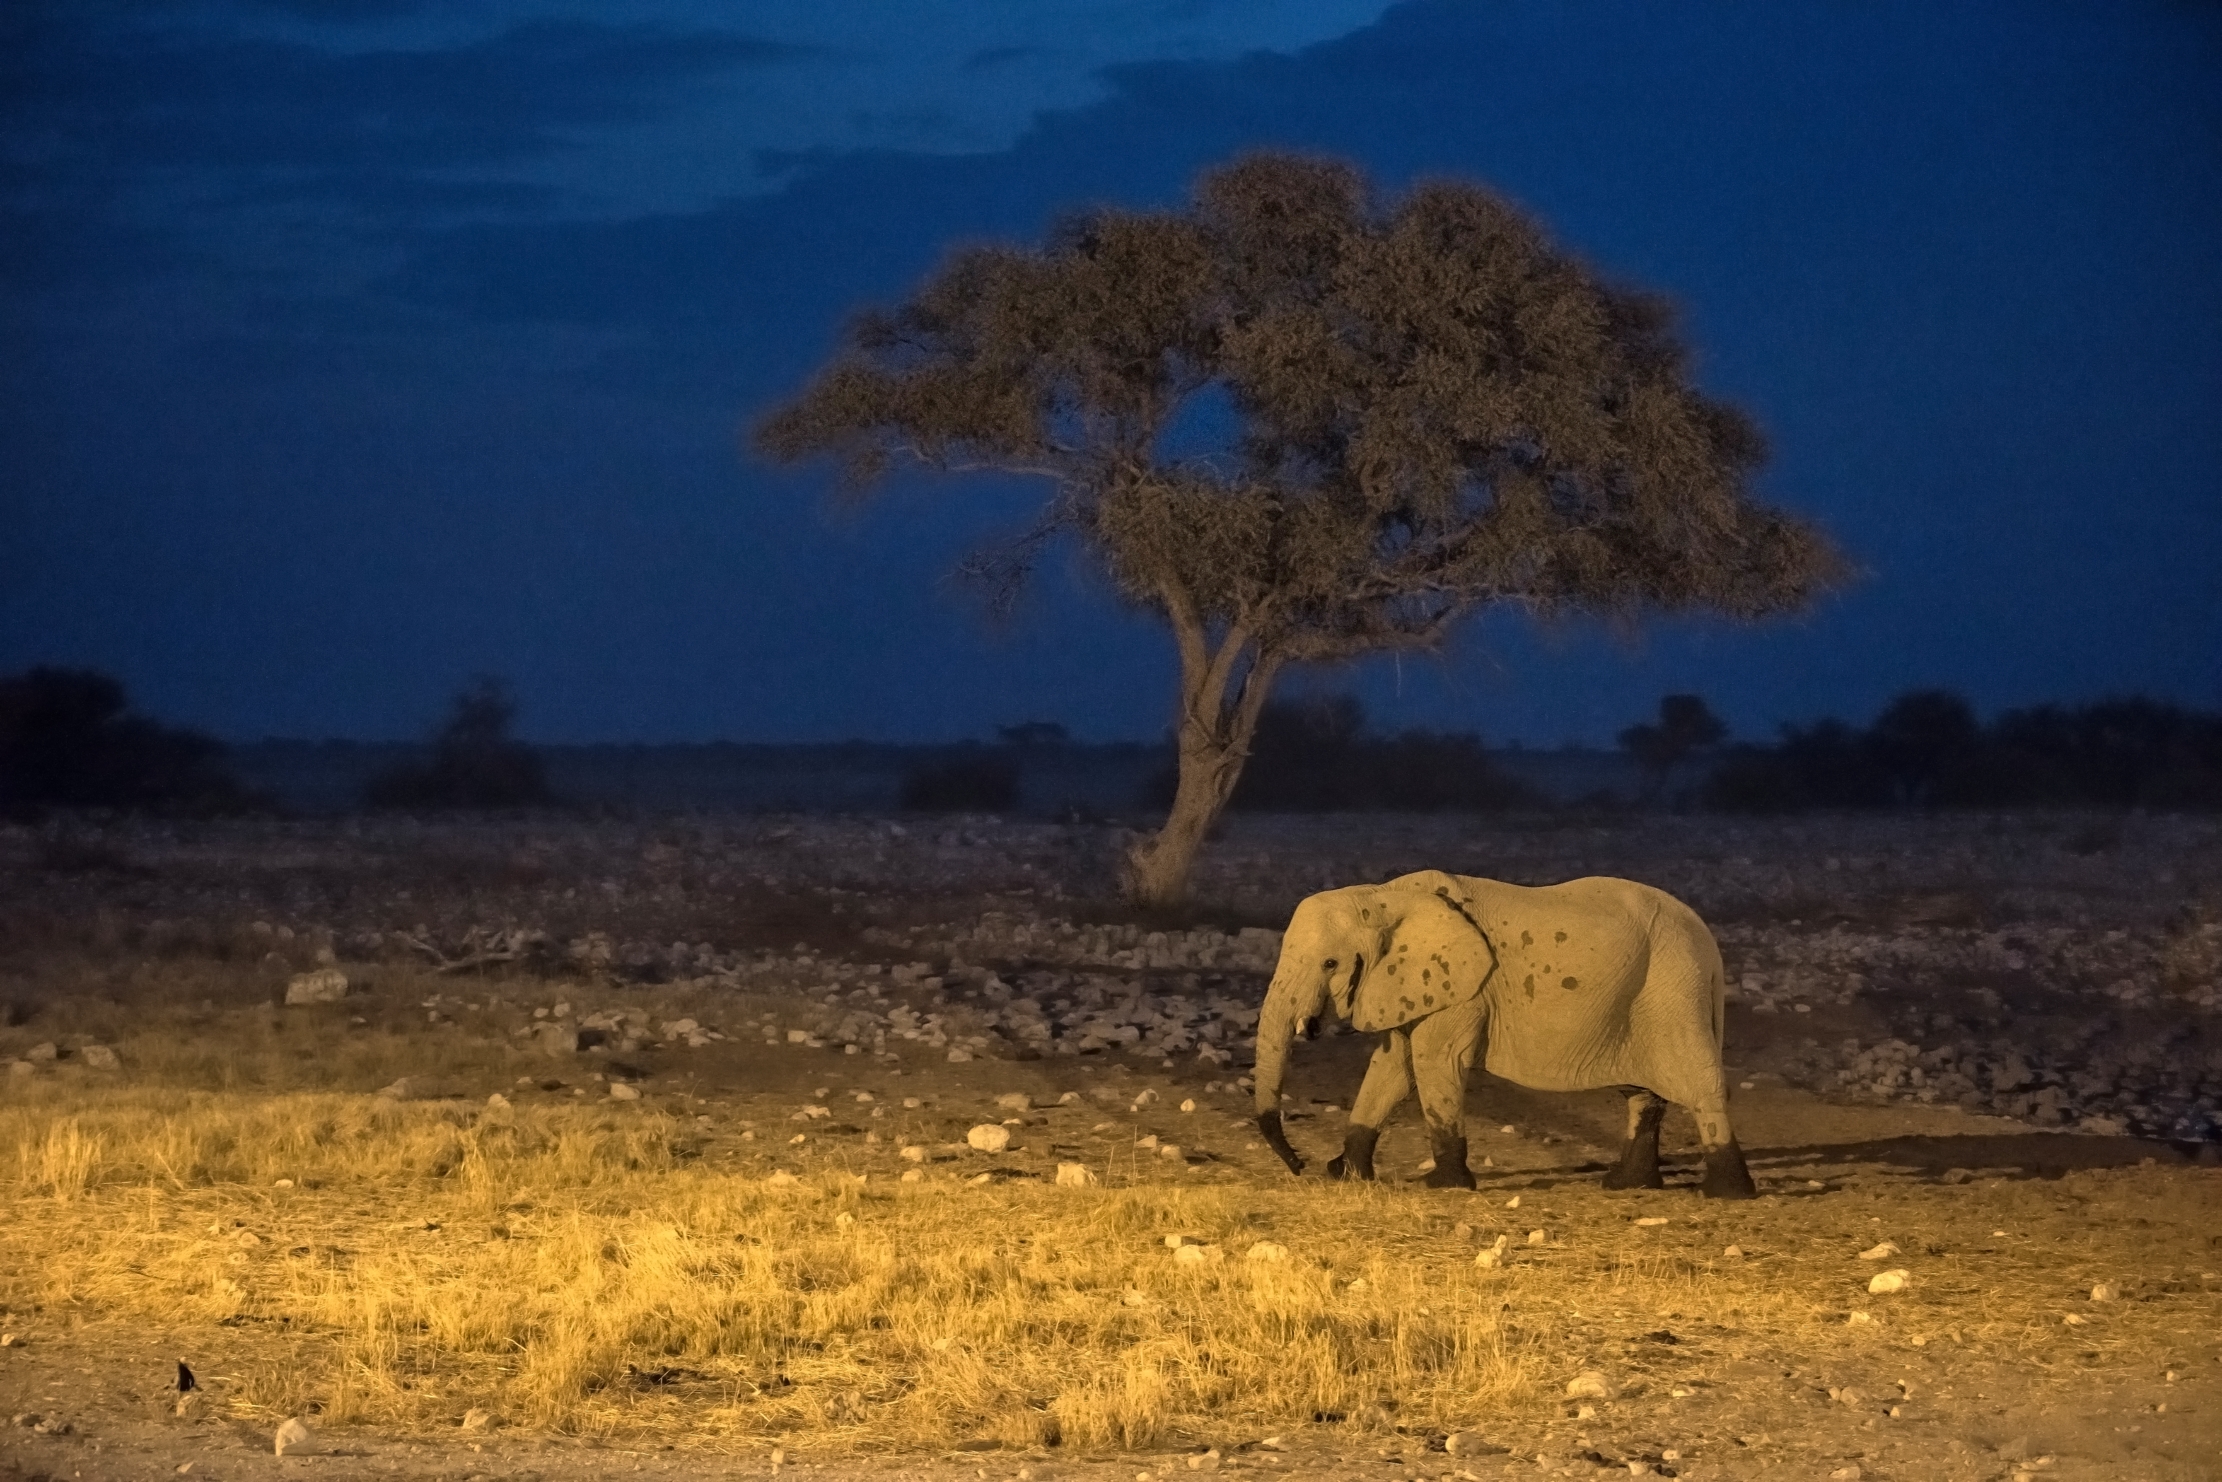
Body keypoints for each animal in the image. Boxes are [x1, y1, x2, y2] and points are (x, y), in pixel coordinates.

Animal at [1253, 870, 1750, 1208]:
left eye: (1329, 964)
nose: (1303, 1166)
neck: (1382, 896)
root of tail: (1708, 944)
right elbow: (1392, 1066)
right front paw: (1349, 1176)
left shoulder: (1463, 988)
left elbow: (1434, 1061)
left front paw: (1444, 1186)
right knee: (1643, 1095)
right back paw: (1626, 1185)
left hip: (1672, 990)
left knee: (1699, 1084)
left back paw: (1726, 1193)